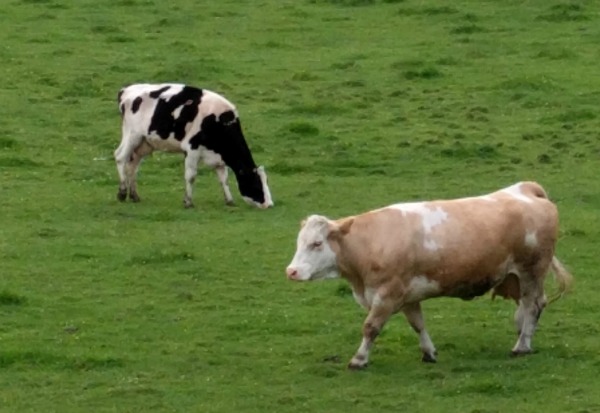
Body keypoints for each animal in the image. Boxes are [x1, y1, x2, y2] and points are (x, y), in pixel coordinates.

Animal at [115, 83, 274, 209]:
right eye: (256, 183)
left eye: (266, 181)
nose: (269, 204)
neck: (219, 122)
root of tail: (126, 89)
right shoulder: (192, 149)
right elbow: (191, 176)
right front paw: (188, 202)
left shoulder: (218, 157)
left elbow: (224, 179)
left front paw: (229, 200)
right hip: (133, 135)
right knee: (120, 157)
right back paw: (122, 193)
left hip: (144, 143)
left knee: (133, 165)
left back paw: (134, 195)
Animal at [286, 182, 572, 368]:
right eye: (299, 242)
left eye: (317, 244)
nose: (292, 271)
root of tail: (526, 189)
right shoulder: (407, 295)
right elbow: (418, 324)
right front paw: (429, 352)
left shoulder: (387, 294)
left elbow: (370, 327)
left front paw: (359, 359)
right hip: (519, 276)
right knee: (528, 306)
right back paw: (524, 335)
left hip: (532, 270)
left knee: (533, 305)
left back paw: (521, 345)